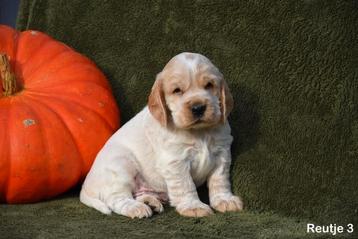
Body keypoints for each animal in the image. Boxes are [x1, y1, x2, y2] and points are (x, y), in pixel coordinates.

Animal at [80, 52, 243, 218]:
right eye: (177, 90)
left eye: (209, 85)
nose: (198, 108)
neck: (199, 132)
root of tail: (86, 186)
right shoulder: (176, 162)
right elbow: (186, 185)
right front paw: (194, 206)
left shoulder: (222, 154)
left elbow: (220, 180)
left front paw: (224, 200)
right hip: (120, 166)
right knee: (116, 199)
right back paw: (136, 208)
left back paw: (150, 202)